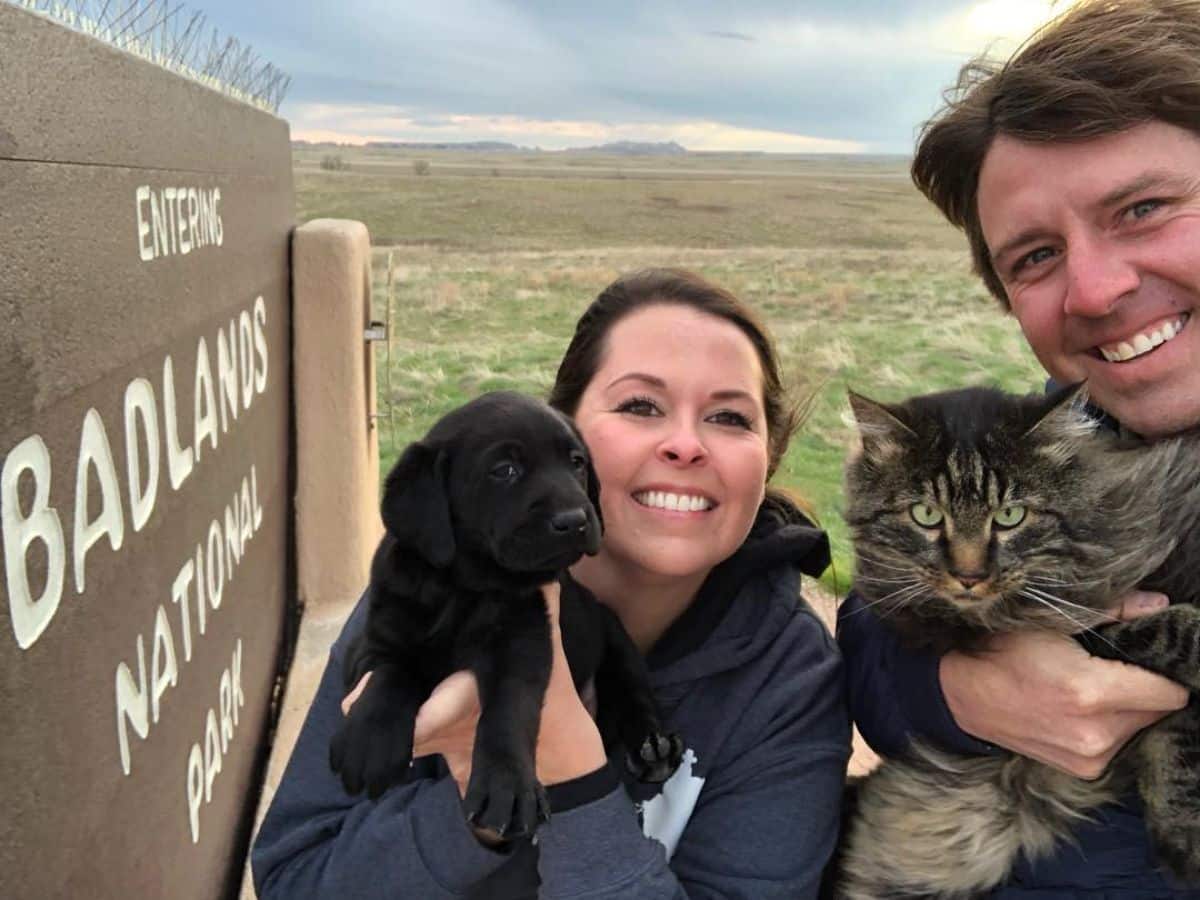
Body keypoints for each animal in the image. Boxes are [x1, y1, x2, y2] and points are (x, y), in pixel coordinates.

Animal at [331, 391, 686, 844]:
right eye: (504, 470)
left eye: (577, 462)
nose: (576, 520)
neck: (463, 589)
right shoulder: (374, 638)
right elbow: (392, 673)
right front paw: (371, 740)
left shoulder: (523, 639)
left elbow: (509, 708)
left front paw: (506, 787)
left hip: (615, 639)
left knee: (634, 693)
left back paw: (653, 748)